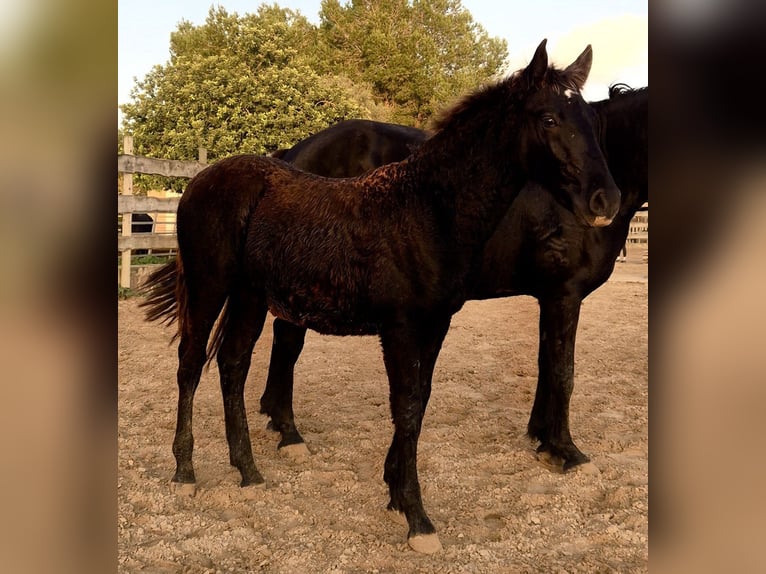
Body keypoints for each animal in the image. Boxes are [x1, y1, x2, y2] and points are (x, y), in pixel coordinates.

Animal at [258, 84, 648, 473]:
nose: (603, 202)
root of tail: (293, 154)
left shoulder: (548, 296)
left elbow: (546, 366)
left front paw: (540, 435)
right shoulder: (564, 294)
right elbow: (563, 372)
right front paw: (565, 450)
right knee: (289, 342)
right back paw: (290, 434)